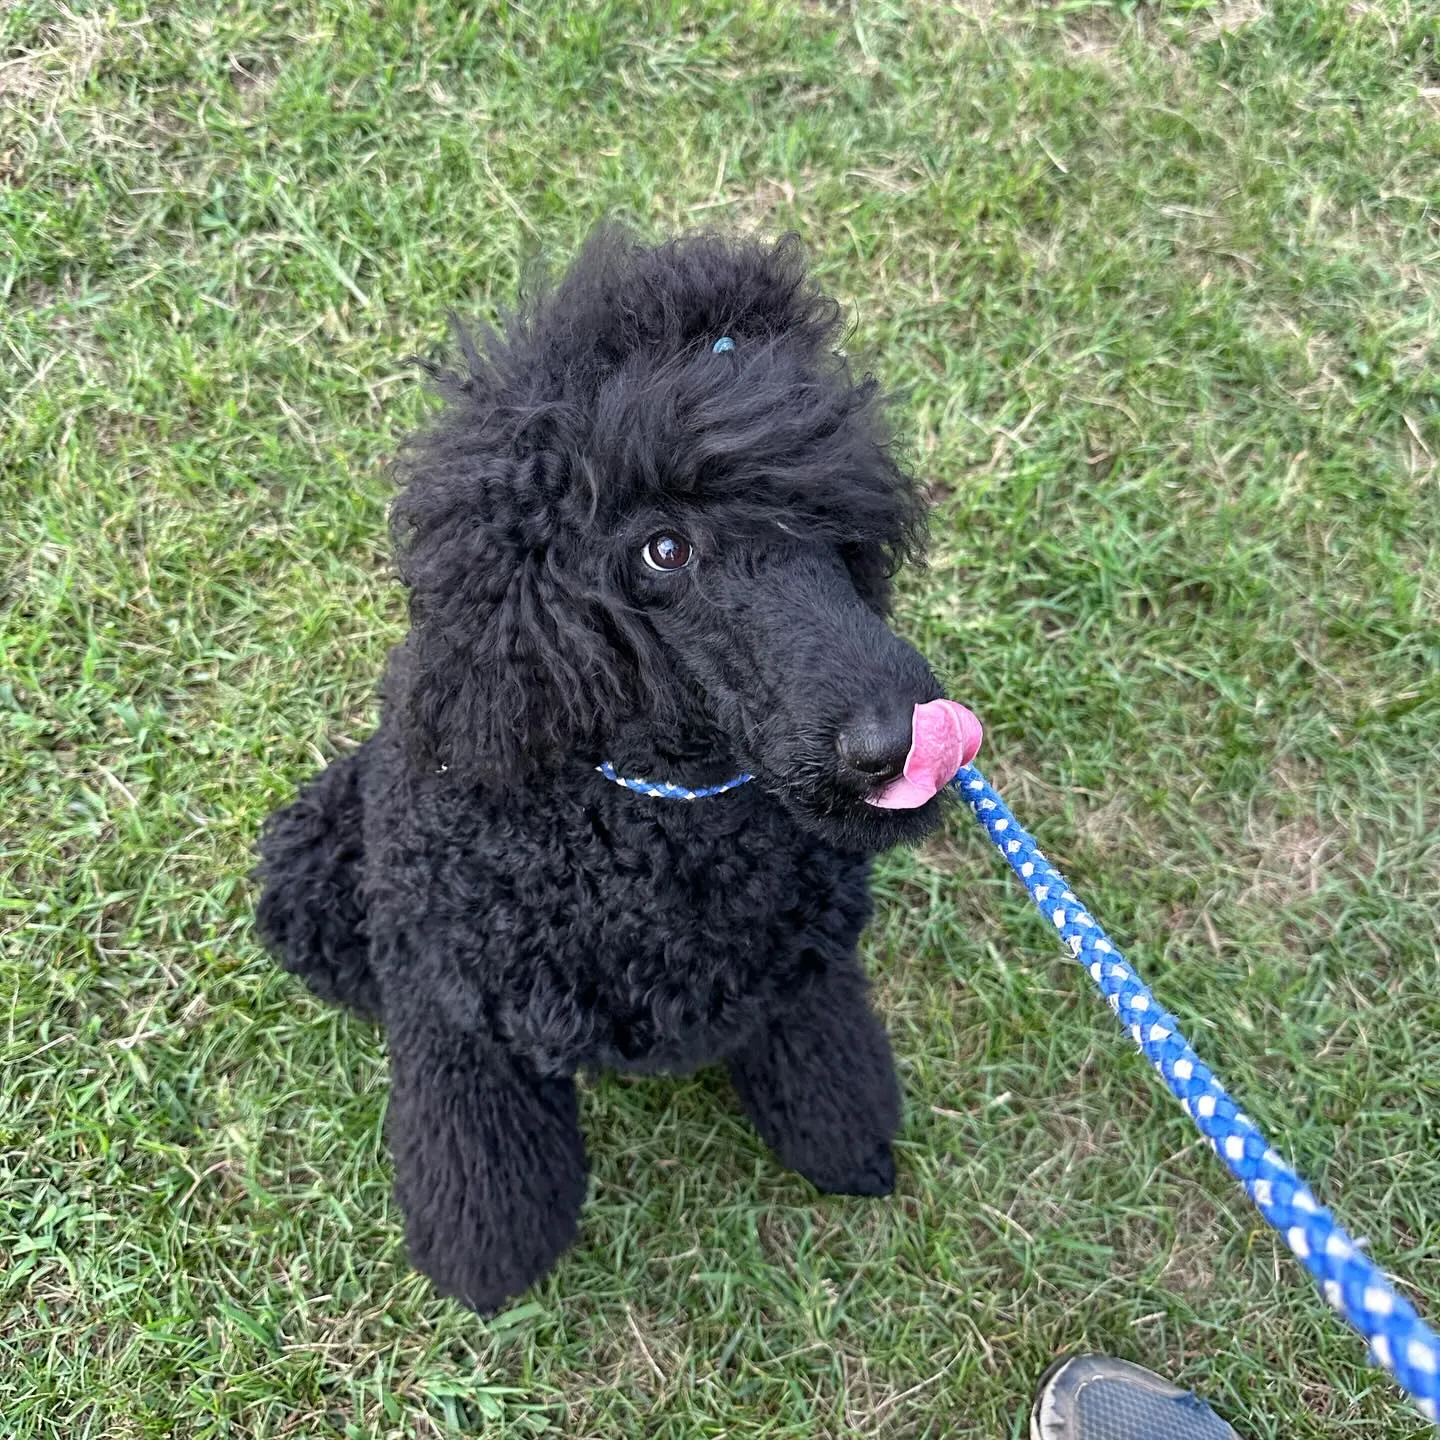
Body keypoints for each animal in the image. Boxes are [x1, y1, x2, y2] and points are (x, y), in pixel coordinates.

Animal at [259, 227, 967, 1319]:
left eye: (825, 509)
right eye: (664, 550)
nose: (900, 739)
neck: (655, 821)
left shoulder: (808, 971)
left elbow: (824, 1067)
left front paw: (848, 1144)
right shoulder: (457, 1018)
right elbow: (482, 1169)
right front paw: (487, 1266)